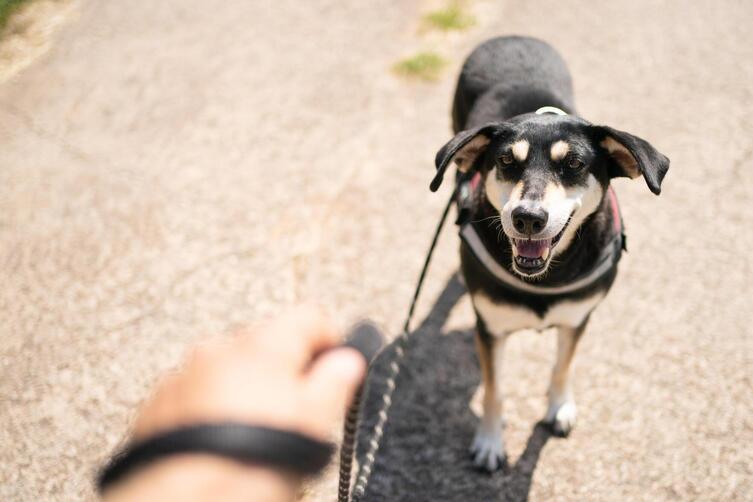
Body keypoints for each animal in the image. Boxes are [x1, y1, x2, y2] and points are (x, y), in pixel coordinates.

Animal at [428, 37, 668, 472]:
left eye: (573, 163)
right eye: (506, 160)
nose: (527, 218)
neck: (545, 276)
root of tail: (511, 37)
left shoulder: (578, 318)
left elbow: (562, 365)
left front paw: (559, 409)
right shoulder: (490, 328)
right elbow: (494, 390)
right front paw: (490, 441)